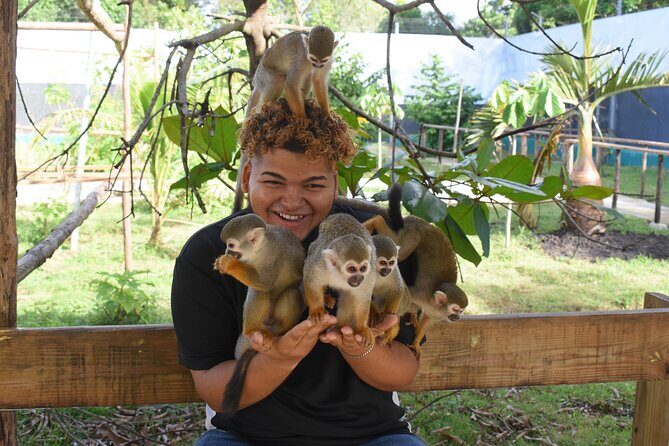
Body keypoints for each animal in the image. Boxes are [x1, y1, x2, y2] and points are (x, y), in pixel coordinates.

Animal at [213, 213, 305, 416]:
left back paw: (278, 329)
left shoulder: (272, 256)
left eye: (231, 245)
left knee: (287, 292)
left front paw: (229, 264)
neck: (260, 250)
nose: (226, 251)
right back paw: (253, 330)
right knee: (261, 292)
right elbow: (261, 286)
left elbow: (264, 282)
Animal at [233, 26, 338, 212]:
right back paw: (264, 111)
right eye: (313, 58)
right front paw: (301, 118)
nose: (316, 65)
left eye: (322, 60)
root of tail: (256, 81)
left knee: (306, 79)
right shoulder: (302, 58)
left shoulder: (329, 61)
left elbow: (318, 80)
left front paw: (326, 114)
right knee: (278, 79)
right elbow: (290, 84)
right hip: (264, 75)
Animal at [303, 213, 377, 346]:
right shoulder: (320, 264)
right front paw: (316, 310)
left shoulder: (369, 274)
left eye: (363, 268)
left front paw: (362, 329)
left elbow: (362, 297)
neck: (340, 275)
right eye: (352, 269)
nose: (359, 277)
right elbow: (311, 280)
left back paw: (339, 327)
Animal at [362, 184, 469, 357]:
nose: (457, 317)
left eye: (461, 310)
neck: (435, 305)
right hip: (413, 235)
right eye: (455, 309)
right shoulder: (422, 295)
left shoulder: (437, 314)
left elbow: (427, 321)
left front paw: (416, 343)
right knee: (401, 248)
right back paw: (375, 220)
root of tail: (422, 223)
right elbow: (407, 295)